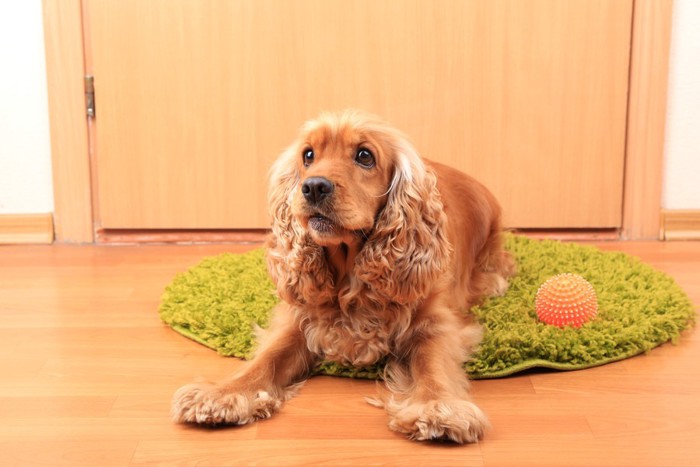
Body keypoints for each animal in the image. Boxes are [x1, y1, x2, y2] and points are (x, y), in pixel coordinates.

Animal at [173, 109, 516, 442]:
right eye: (308, 155)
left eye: (365, 155)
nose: (313, 186)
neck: (351, 274)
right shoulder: (297, 319)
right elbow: (267, 359)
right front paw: (222, 394)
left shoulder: (437, 320)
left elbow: (433, 364)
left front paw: (437, 408)